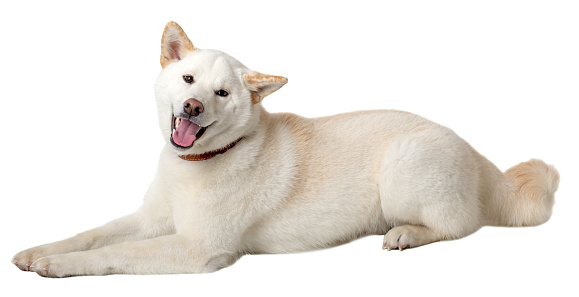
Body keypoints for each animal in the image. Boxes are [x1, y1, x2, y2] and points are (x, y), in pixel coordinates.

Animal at [11, 22, 560, 276]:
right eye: (187, 79)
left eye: (221, 93)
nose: (191, 106)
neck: (202, 161)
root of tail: (479, 156)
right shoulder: (150, 219)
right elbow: (92, 234)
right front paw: (39, 251)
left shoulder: (197, 248)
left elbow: (114, 253)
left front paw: (58, 268)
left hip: (404, 167)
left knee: (460, 225)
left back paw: (406, 233)